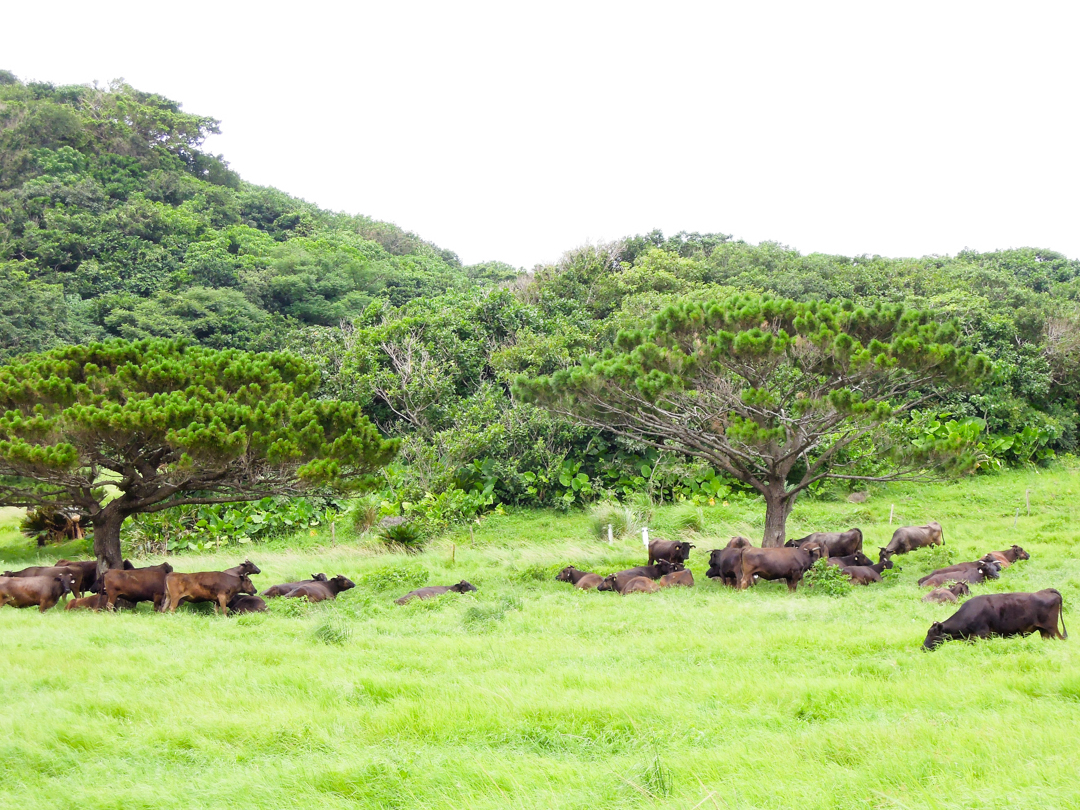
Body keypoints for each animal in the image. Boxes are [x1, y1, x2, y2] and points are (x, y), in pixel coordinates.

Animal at [924, 587, 1067, 652]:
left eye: (932, 634)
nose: (922, 648)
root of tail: (1046, 590)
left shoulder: (982, 635)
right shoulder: (971, 639)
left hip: (1052, 628)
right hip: (1044, 631)